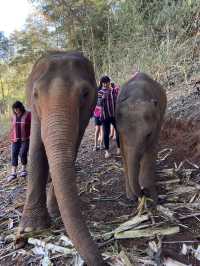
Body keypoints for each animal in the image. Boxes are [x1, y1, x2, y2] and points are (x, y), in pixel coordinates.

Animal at [17, 51, 106, 264]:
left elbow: (72, 147)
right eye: (35, 94)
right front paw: (31, 229)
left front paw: (54, 210)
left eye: (85, 94)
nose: (103, 261)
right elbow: (35, 149)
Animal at [115, 72, 166, 204]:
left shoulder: (156, 125)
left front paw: (153, 197)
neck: (136, 98)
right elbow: (125, 155)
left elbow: (150, 152)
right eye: (120, 132)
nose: (142, 192)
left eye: (148, 134)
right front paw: (131, 197)